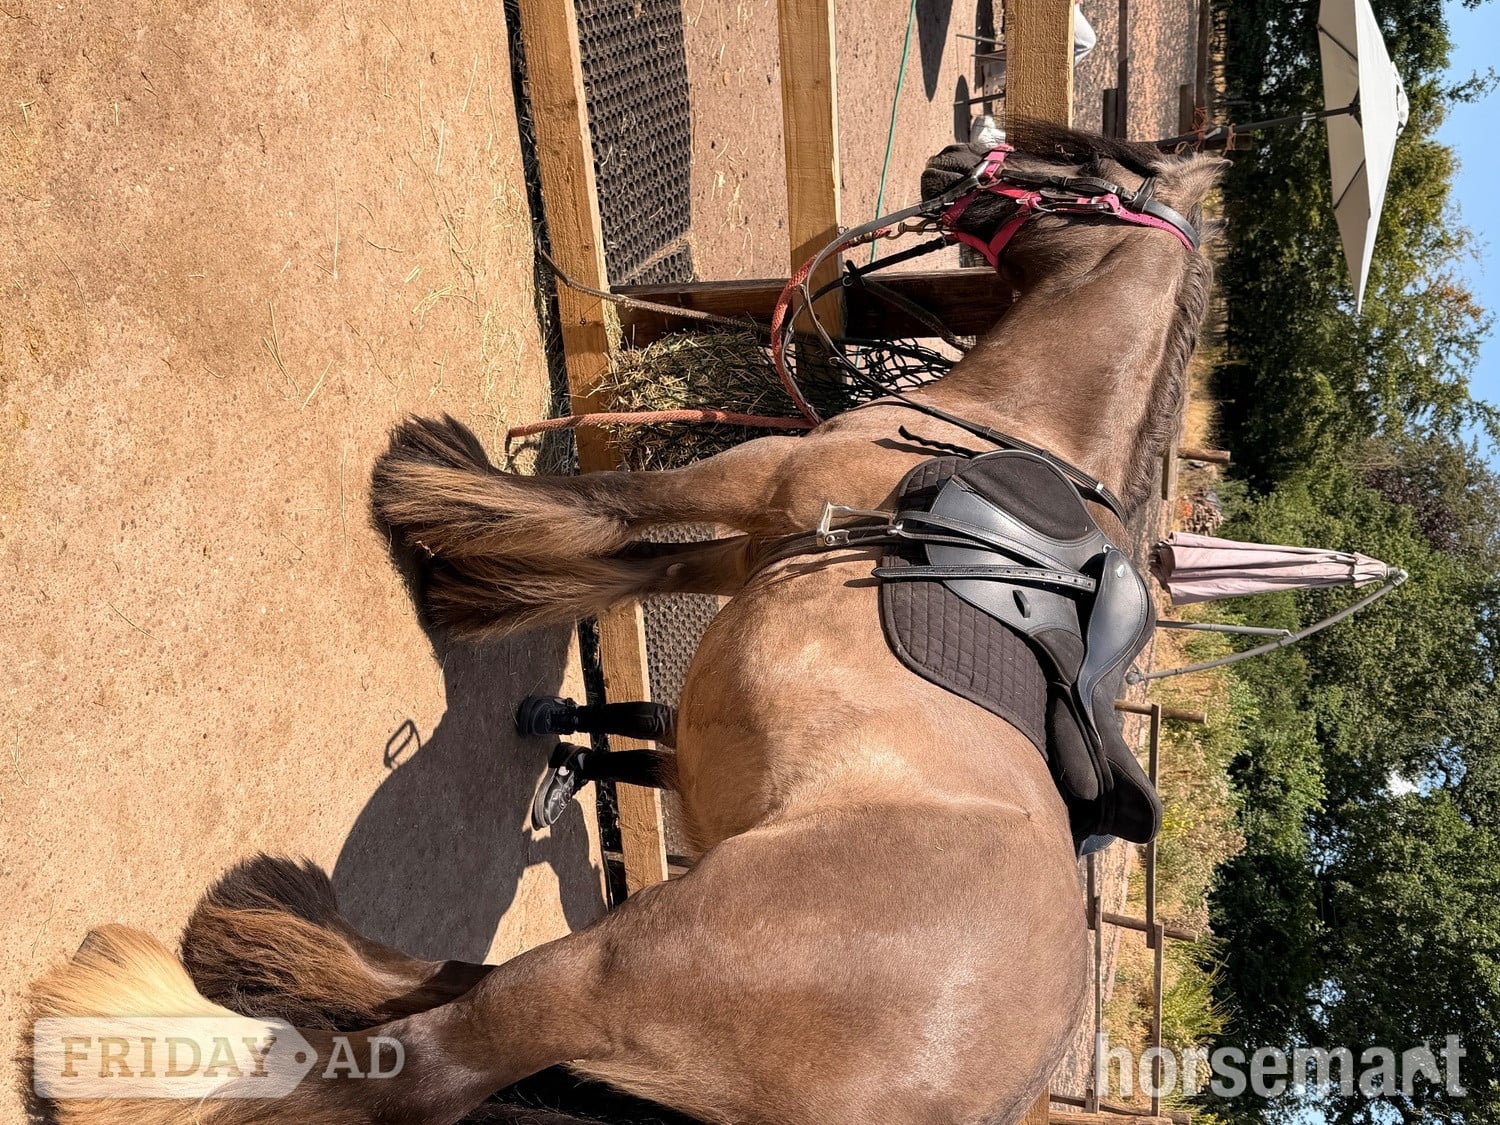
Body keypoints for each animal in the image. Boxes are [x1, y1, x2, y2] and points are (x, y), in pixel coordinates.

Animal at [28, 123, 1222, 1125]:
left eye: (1084, 157)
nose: (955, 153)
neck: (1001, 434)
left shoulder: (757, 476)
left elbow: (606, 507)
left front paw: (430, 490)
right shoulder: (754, 542)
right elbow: (625, 560)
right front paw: (478, 583)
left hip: (614, 970)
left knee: (421, 1063)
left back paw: (147, 1033)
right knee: (438, 989)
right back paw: (270, 938)